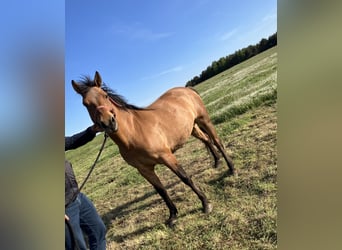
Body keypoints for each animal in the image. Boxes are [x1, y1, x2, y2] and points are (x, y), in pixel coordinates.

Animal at [71, 71, 234, 227]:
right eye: (85, 104)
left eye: (105, 95)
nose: (107, 123)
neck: (134, 132)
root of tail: (186, 89)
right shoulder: (144, 169)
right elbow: (161, 190)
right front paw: (173, 216)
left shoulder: (167, 157)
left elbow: (185, 178)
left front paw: (205, 204)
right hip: (192, 127)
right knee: (206, 140)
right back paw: (217, 162)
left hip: (204, 120)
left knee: (217, 142)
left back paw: (232, 169)